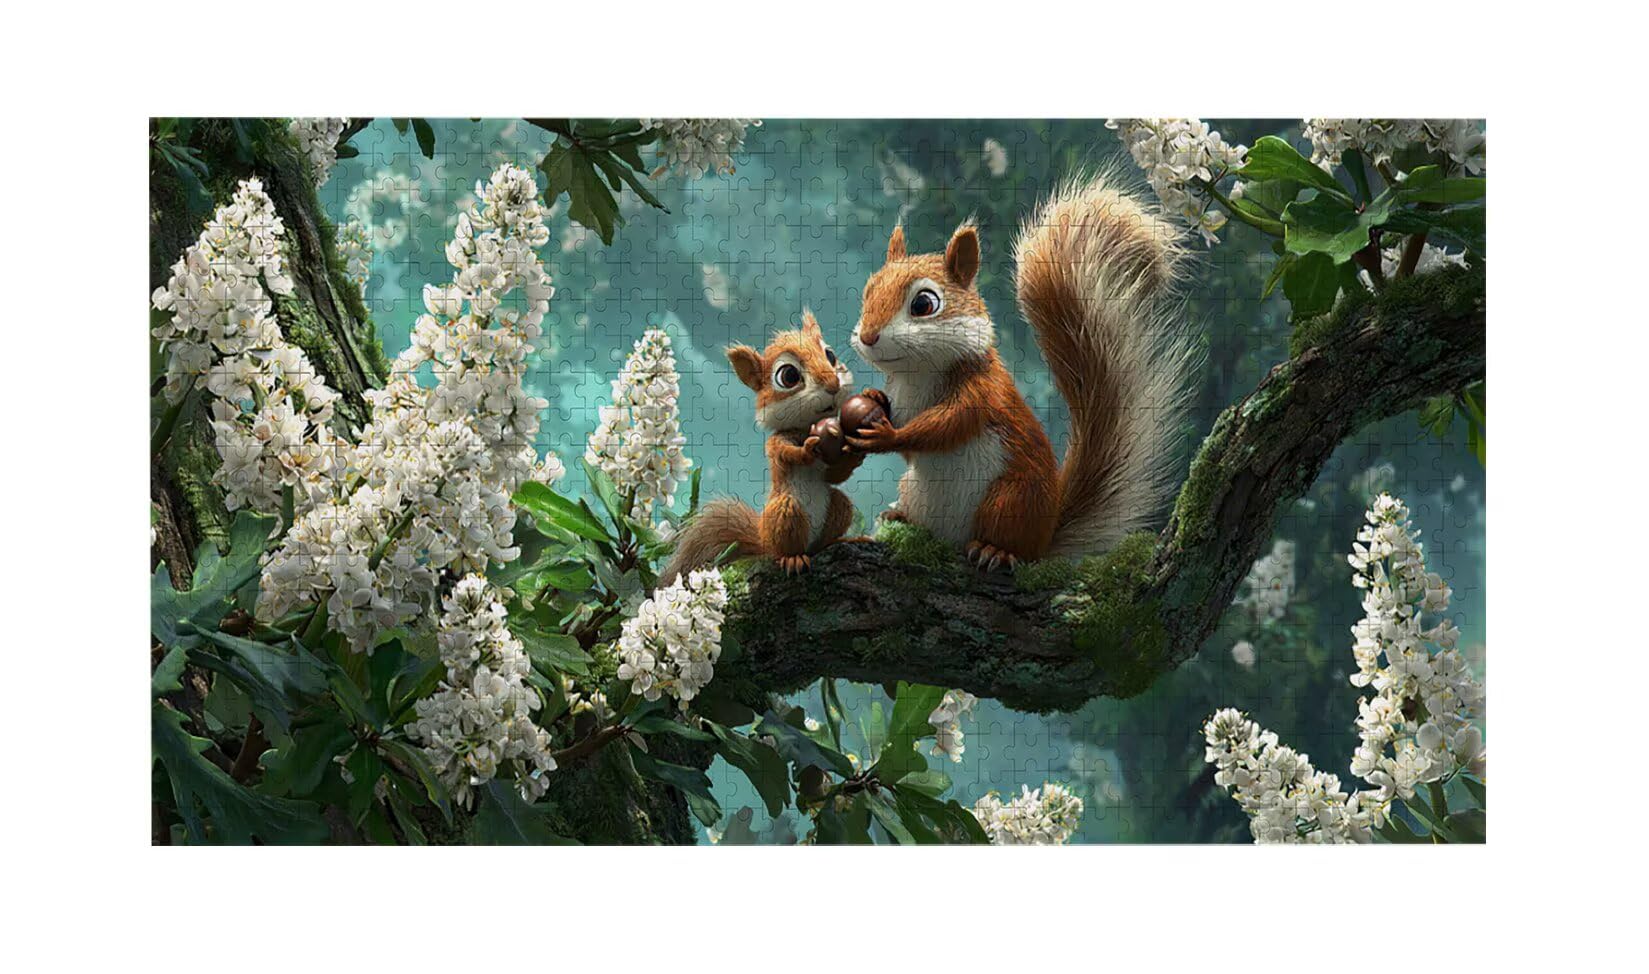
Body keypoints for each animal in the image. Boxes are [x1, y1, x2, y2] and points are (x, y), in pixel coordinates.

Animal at [660, 312, 864, 584]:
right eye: (788, 376)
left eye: (830, 355)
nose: (832, 384)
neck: (806, 427)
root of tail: (763, 540)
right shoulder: (775, 443)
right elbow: (787, 453)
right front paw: (807, 449)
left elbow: (834, 475)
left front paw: (855, 454)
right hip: (784, 512)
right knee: (784, 548)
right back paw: (793, 558)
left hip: (838, 507)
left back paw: (840, 540)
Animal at [845, 173, 1197, 570]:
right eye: (868, 292)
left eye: (924, 304)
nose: (868, 336)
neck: (916, 374)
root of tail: (1044, 538)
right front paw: (873, 397)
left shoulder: (984, 391)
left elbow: (945, 426)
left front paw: (887, 436)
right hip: (914, 488)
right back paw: (900, 517)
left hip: (1011, 498)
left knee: (1008, 540)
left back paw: (995, 550)